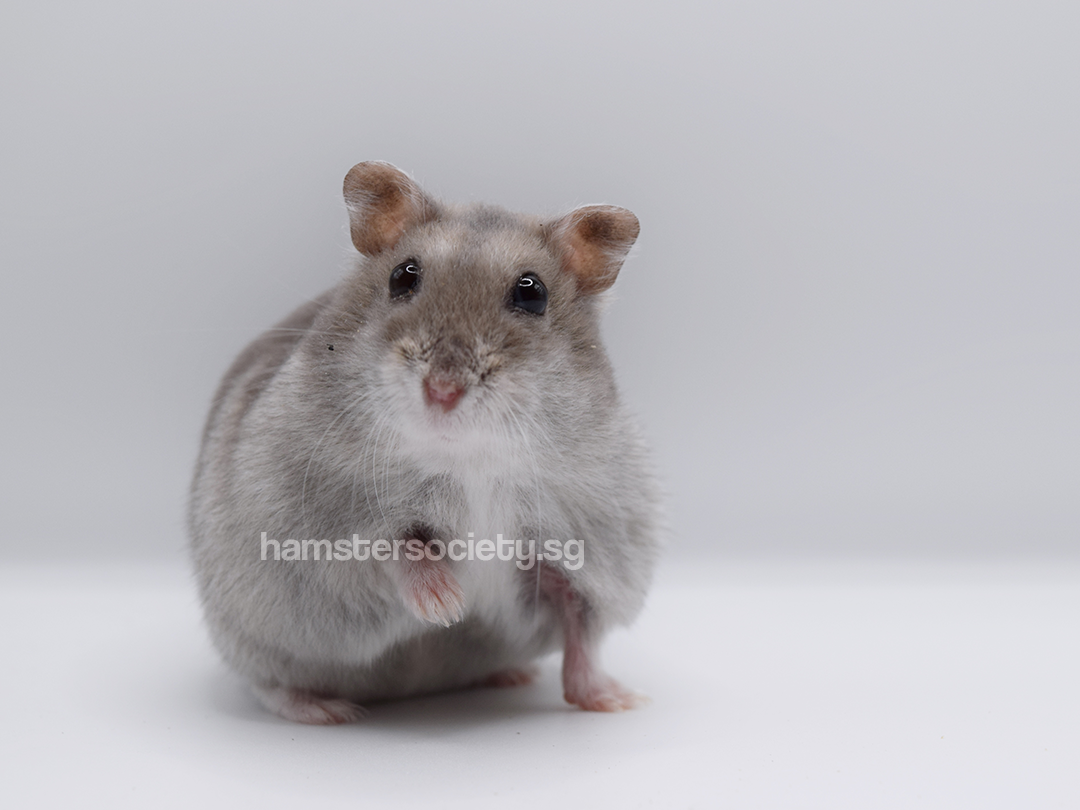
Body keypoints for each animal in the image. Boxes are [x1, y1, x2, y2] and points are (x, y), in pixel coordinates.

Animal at [188, 161, 660, 724]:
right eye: (402, 276)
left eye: (532, 293)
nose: (442, 391)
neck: (468, 458)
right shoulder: (327, 531)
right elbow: (396, 547)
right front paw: (447, 607)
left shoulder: (591, 555)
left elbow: (580, 634)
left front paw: (621, 702)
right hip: (250, 635)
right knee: (270, 682)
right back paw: (326, 709)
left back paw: (511, 675)